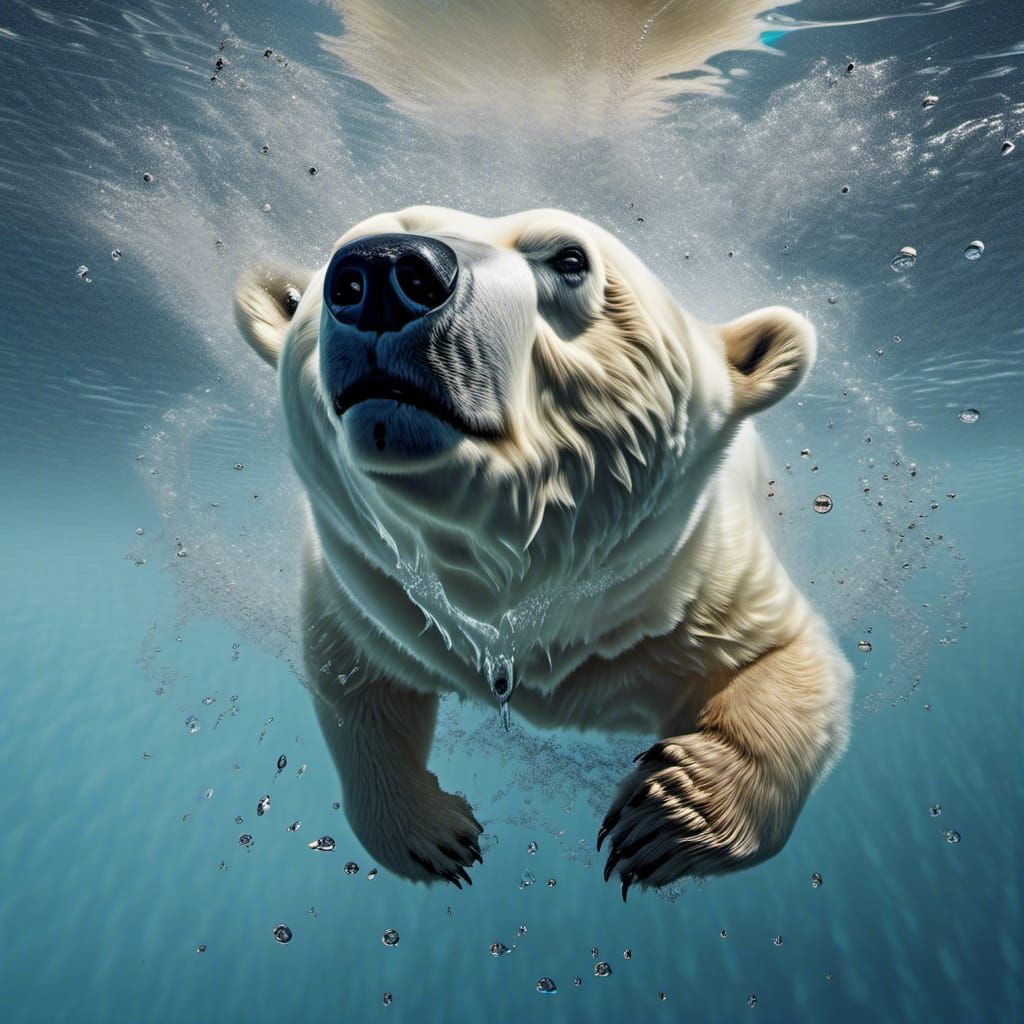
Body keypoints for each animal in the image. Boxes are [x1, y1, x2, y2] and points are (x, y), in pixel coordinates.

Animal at [234, 206, 851, 897]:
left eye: (570, 259)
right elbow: (356, 692)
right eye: (341, 258)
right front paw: (435, 835)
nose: (382, 271)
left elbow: (792, 663)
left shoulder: (692, 586)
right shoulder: (368, 597)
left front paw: (667, 818)